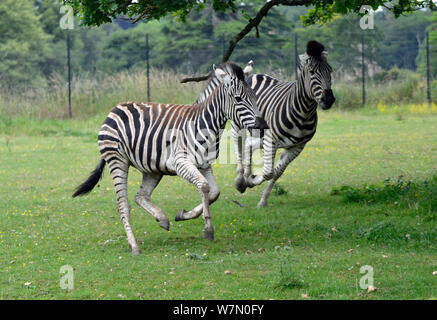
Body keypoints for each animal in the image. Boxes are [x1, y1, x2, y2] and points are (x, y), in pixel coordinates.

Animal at [72, 62, 268, 255]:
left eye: (255, 97)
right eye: (238, 99)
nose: (263, 126)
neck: (206, 124)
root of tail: (116, 108)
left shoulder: (205, 165)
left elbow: (214, 192)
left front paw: (183, 215)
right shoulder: (180, 162)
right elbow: (204, 187)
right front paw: (208, 229)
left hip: (152, 168)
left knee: (140, 196)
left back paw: (162, 219)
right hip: (117, 160)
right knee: (123, 205)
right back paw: (134, 246)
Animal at [196, 40, 336, 208]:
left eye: (330, 71)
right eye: (312, 72)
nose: (328, 99)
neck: (304, 112)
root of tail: (253, 75)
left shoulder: (297, 147)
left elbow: (276, 172)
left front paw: (262, 199)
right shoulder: (271, 140)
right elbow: (268, 171)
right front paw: (250, 180)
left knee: (250, 145)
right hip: (239, 123)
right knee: (239, 145)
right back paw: (240, 179)